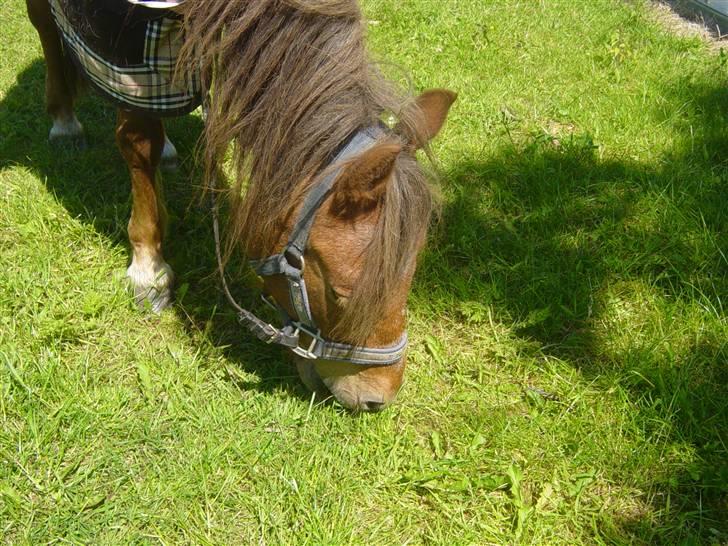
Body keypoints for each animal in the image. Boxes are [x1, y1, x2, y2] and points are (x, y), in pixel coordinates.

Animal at [25, 0, 456, 408]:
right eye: (340, 295)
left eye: (411, 276)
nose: (377, 398)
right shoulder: (126, 52)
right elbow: (138, 141)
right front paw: (149, 267)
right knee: (44, 27)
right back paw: (64, 122)